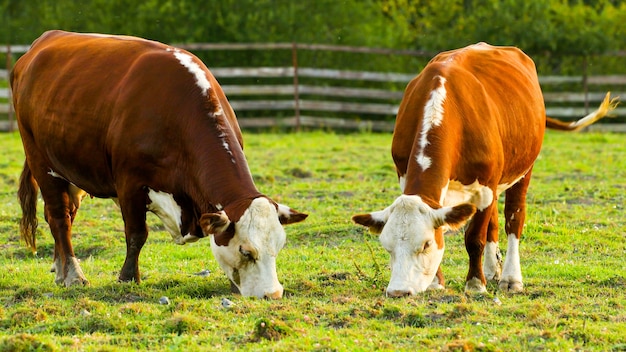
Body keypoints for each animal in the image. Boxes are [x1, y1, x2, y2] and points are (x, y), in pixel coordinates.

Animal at [11, 31, 308, 300]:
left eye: (279, 247)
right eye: (246, 251)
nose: (273, 294)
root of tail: (42, 43)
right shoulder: (130, 184)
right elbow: (136, 234)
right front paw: (128, 278)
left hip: (73, 170)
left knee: (63, 215)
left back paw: (60, 269)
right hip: (41, 161)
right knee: (59, 217)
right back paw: (73, 274)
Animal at [352, 42, 616, 298]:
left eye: (425, 244)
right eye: (388, 247)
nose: (398, 292)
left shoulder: (485, 187)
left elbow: (474, 238)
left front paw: (475, 284)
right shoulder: (407, 177)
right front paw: (437, 282)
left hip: (523, 169)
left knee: (513, 218)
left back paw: (510, 278)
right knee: (495, 224)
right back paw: (491, 270)